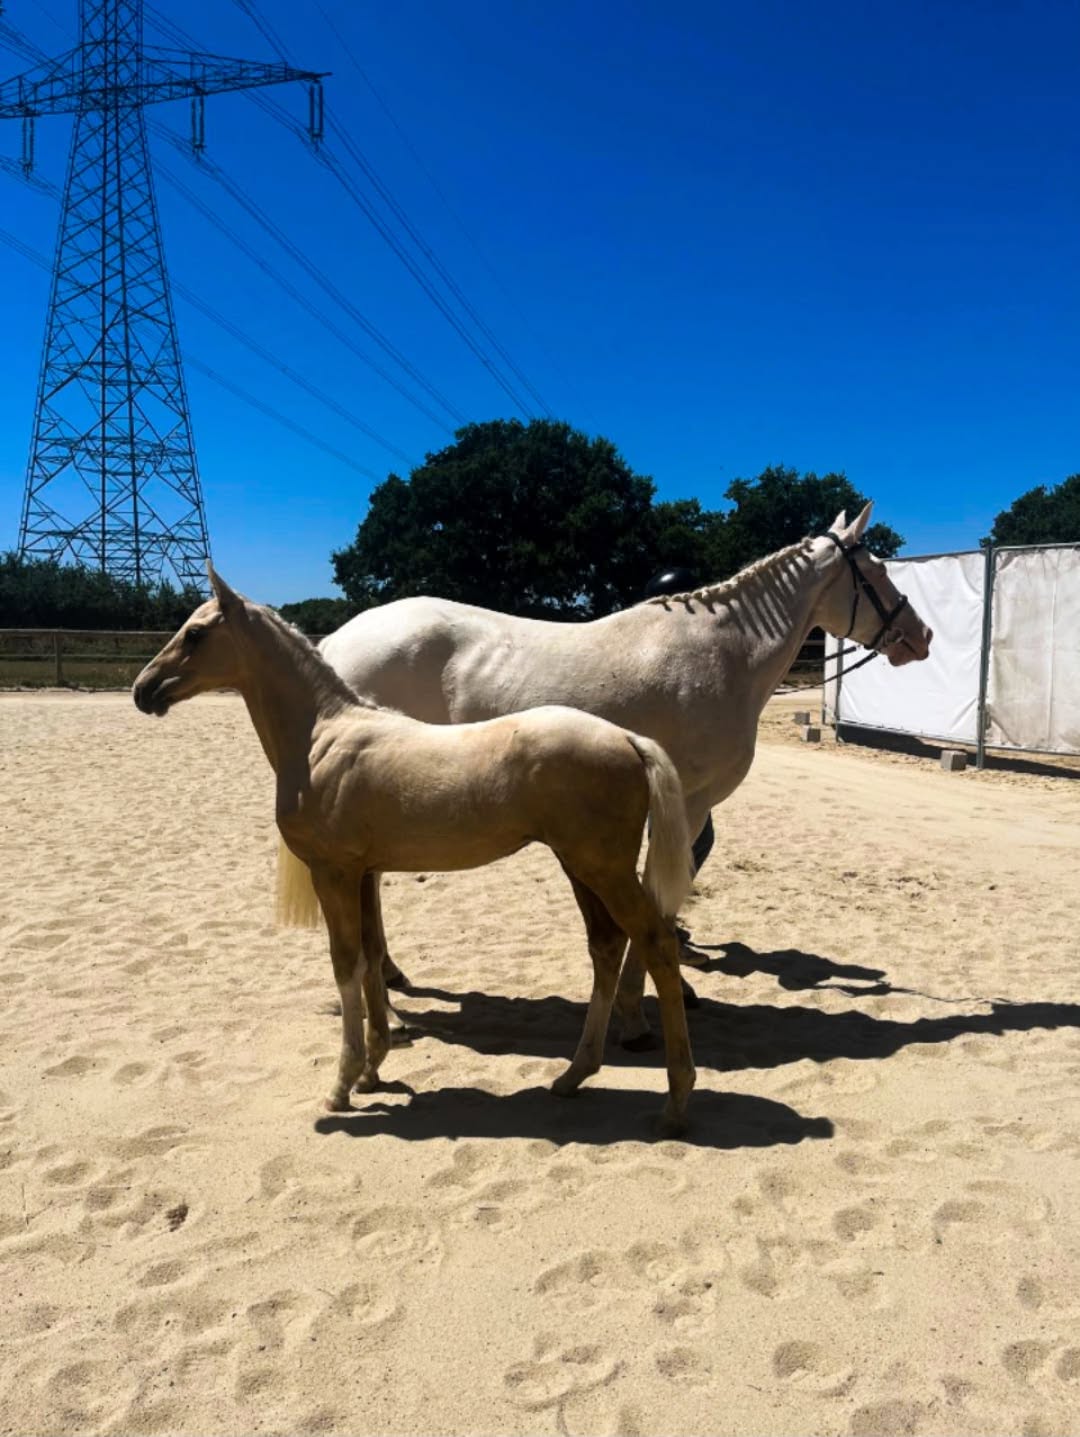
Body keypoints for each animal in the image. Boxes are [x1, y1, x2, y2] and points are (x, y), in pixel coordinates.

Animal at [132, 570, 699, 1135]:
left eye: (196, 633)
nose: (143, 690)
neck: (321, 738)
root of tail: (628, 739)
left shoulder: (332, 873)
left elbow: (345, 965)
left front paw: (341, 1087)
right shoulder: (363, 874)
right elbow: (370, 959)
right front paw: (372, 1071)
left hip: (603, 869)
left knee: (655, 943)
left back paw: (675, 1103)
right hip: (581, 866)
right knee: (606, 946)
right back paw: (574, 1075)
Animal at [320, 503, 934, 1046]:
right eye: (879, 571)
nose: (921, 635)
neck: (722, 654)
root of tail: (336, 641)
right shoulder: (688, 805)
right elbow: (660, 896)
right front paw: (642, 1009)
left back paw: (391, 981)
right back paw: (390, 1011)